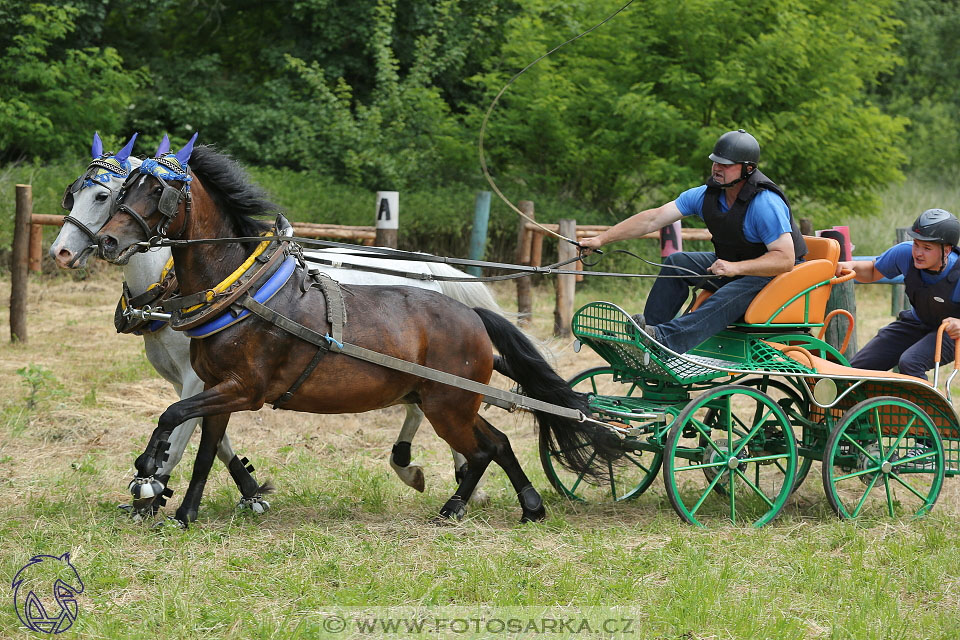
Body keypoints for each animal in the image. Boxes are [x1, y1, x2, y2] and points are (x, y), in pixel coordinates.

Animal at [92, 139, 616, 524]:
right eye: (123, 190)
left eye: (155, 191)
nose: (107, 240)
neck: (240, 293)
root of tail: (471, 317)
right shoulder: (218, 389)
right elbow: (203, 451)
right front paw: (185, 513)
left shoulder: (243, 389)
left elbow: (172, 415)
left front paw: (149, 474)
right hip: (447, 401)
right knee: (498, 444)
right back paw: (522, 505)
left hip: (448, 405)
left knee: (483, 448)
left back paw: (460, 504)